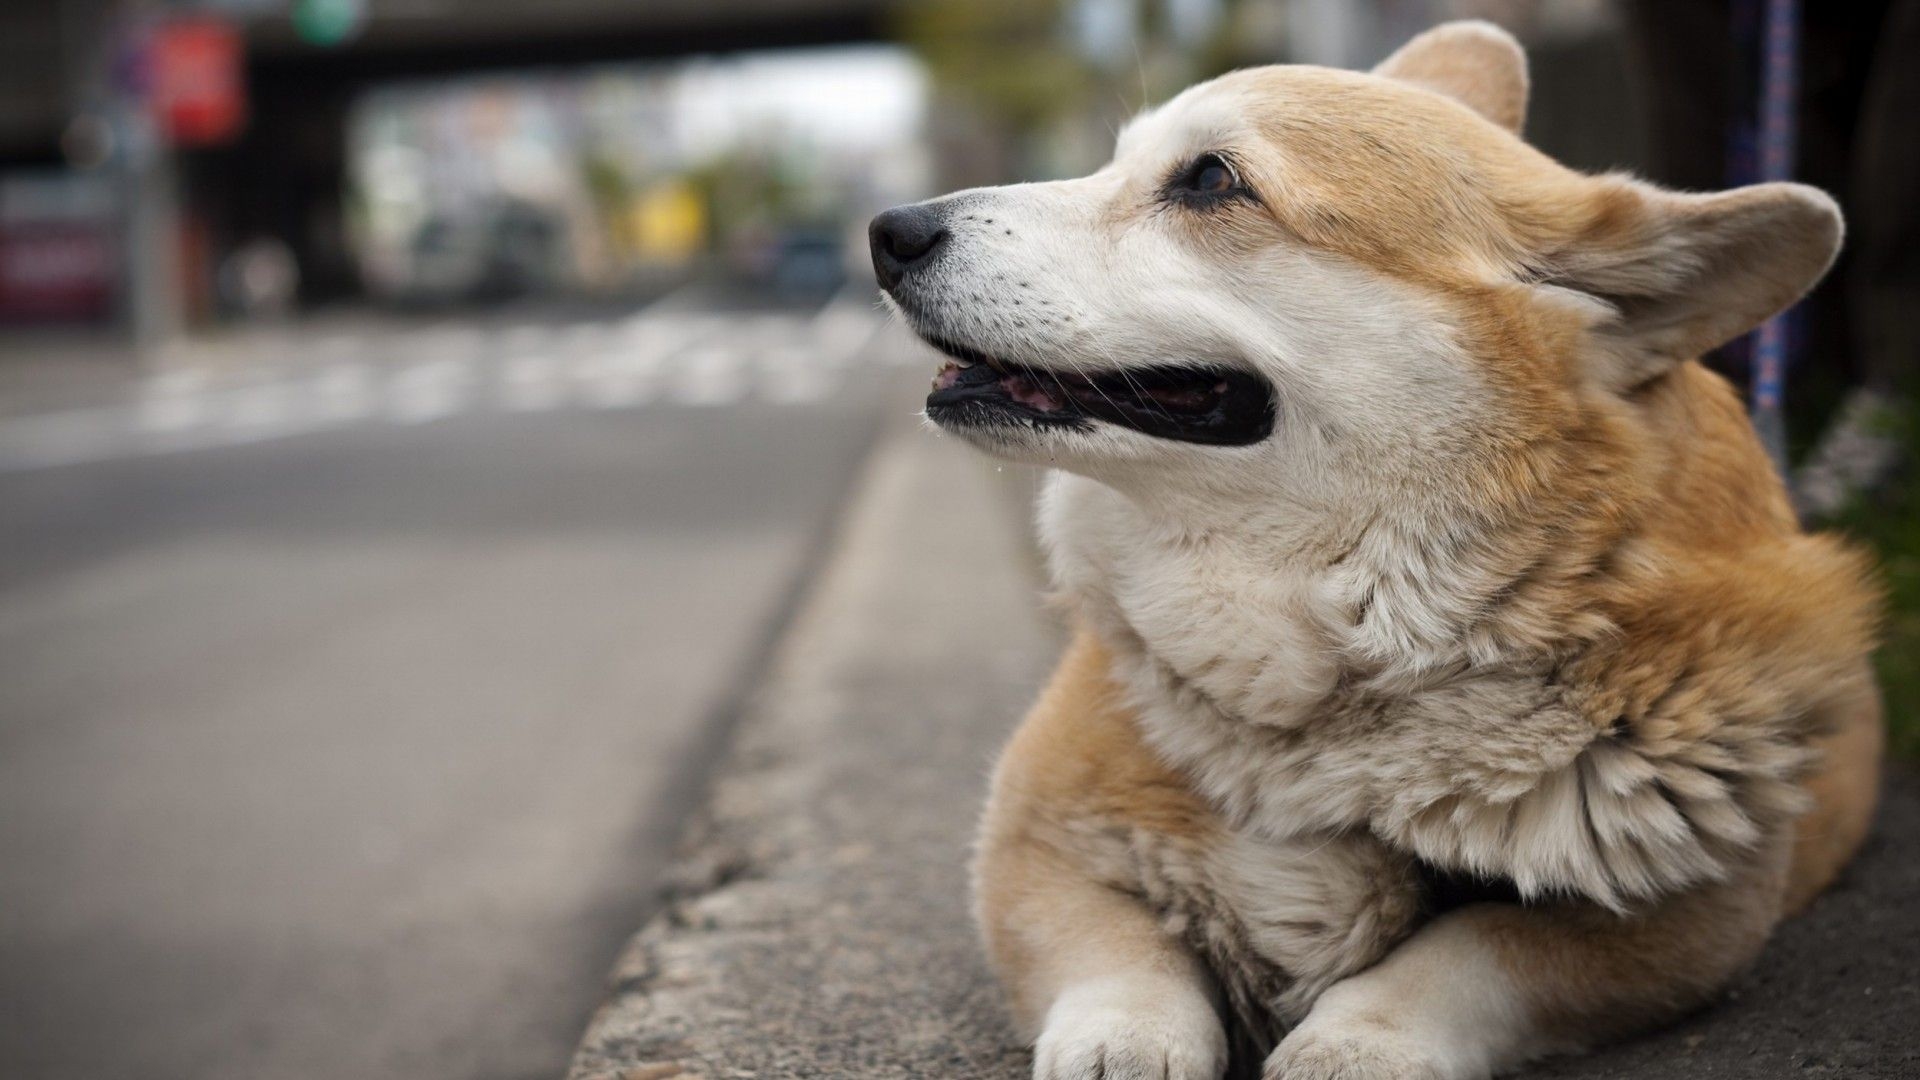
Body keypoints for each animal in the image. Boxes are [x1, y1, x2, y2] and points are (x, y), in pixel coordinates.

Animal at [879, 18, 1881, 1076]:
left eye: (1209, 180)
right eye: (1115, 160)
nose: (887, 234)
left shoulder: (1691, 915)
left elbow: (1480, 945)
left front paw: (1359, 1037)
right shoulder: (1031, 849)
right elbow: (1124, 956)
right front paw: (1126, 1039)